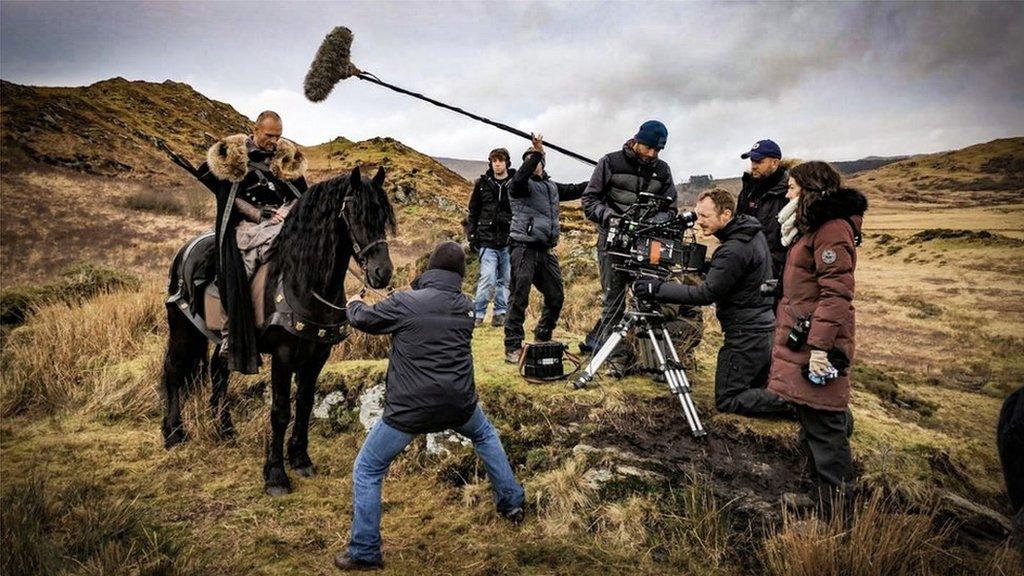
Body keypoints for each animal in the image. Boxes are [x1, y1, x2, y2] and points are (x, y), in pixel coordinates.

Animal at [160, 165, 395, 494]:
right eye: (354, 213)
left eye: (383, 216)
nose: (382, 273)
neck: (303, 280)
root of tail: (184, 250)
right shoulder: (283, 355)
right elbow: (281, 411)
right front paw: (275, 475)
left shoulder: (317, 354)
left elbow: (305, 404)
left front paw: (300, 459)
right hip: (183, 329)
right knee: (173, 372)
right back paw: (174, 433)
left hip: (225, 341)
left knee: (218, 374)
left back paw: (225, 429)